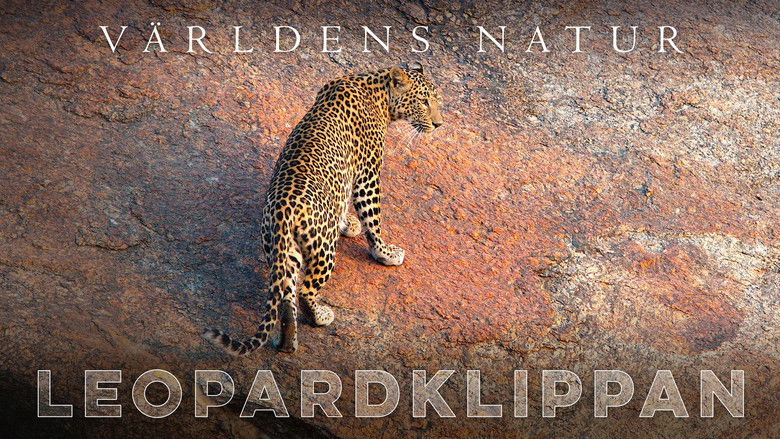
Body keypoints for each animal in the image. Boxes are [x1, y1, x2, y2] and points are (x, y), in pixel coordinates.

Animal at [203, 62, 443, 355]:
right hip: (323, 249)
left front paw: (346, 222)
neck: (378, 91)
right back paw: (320, 316)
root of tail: (283, 211)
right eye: (424, 102)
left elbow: (342, 199)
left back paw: (287, 341)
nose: (438, 124)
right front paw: (385, 252)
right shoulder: (367, 174)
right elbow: (373, 218)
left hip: (284, 251)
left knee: (287, 296)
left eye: (437, 100)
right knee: (306, 290)